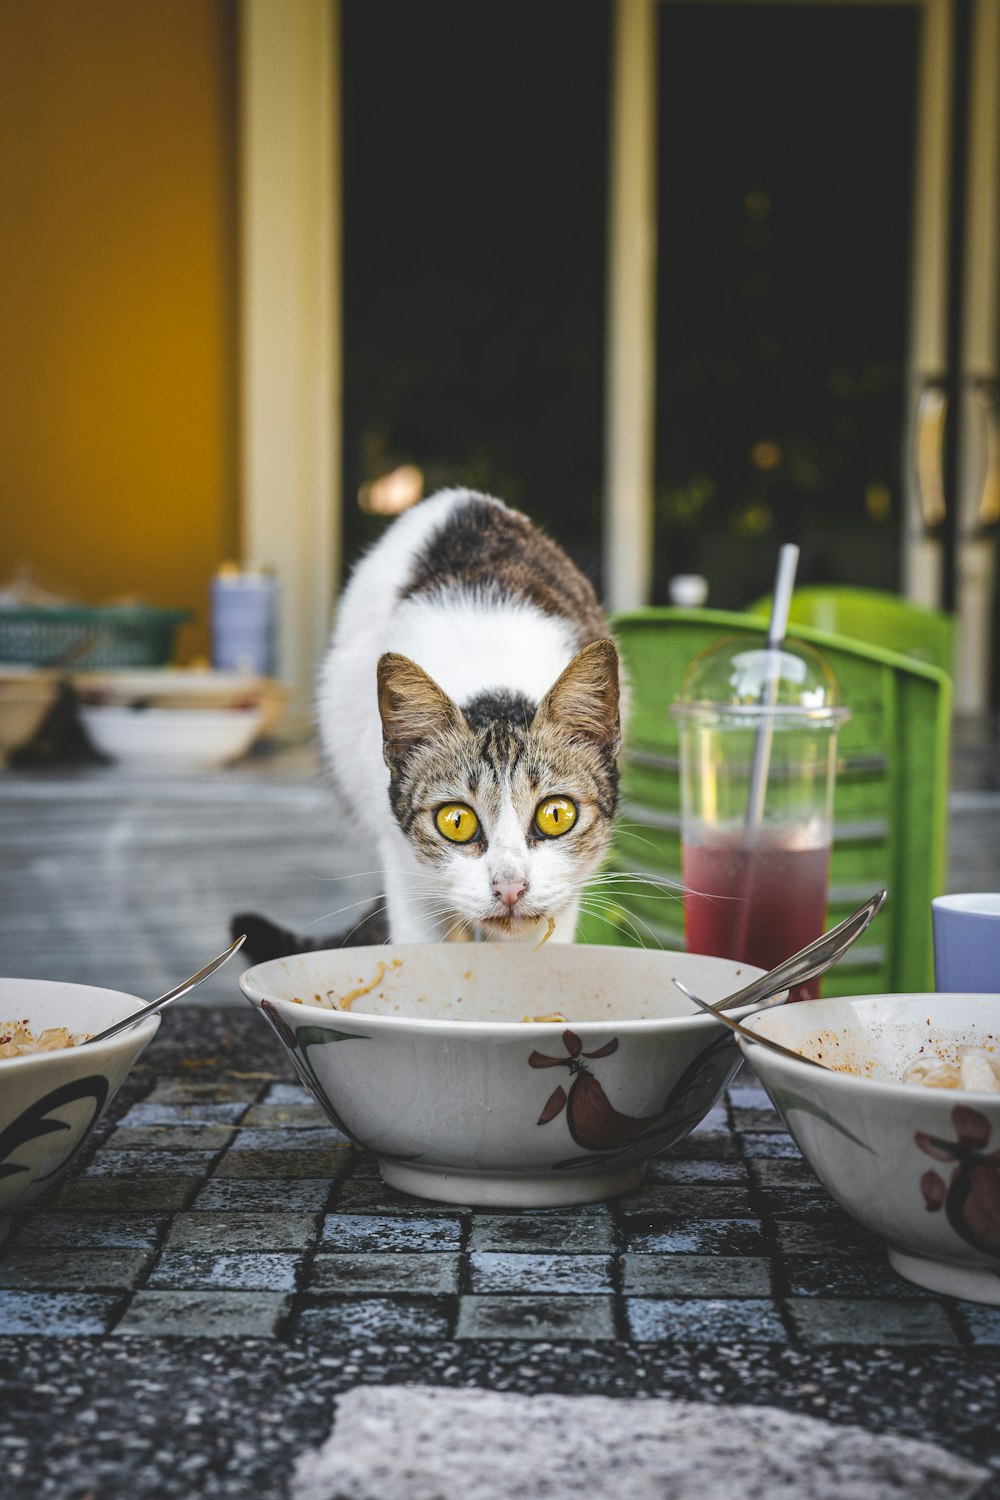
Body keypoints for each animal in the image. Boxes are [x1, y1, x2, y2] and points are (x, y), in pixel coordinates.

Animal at [238, 489, 620, 960]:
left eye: (556, 815)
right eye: (455, 822)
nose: (510, 888)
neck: (493, 682)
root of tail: (458, 497)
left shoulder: (562, 892)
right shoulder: (404, 870)